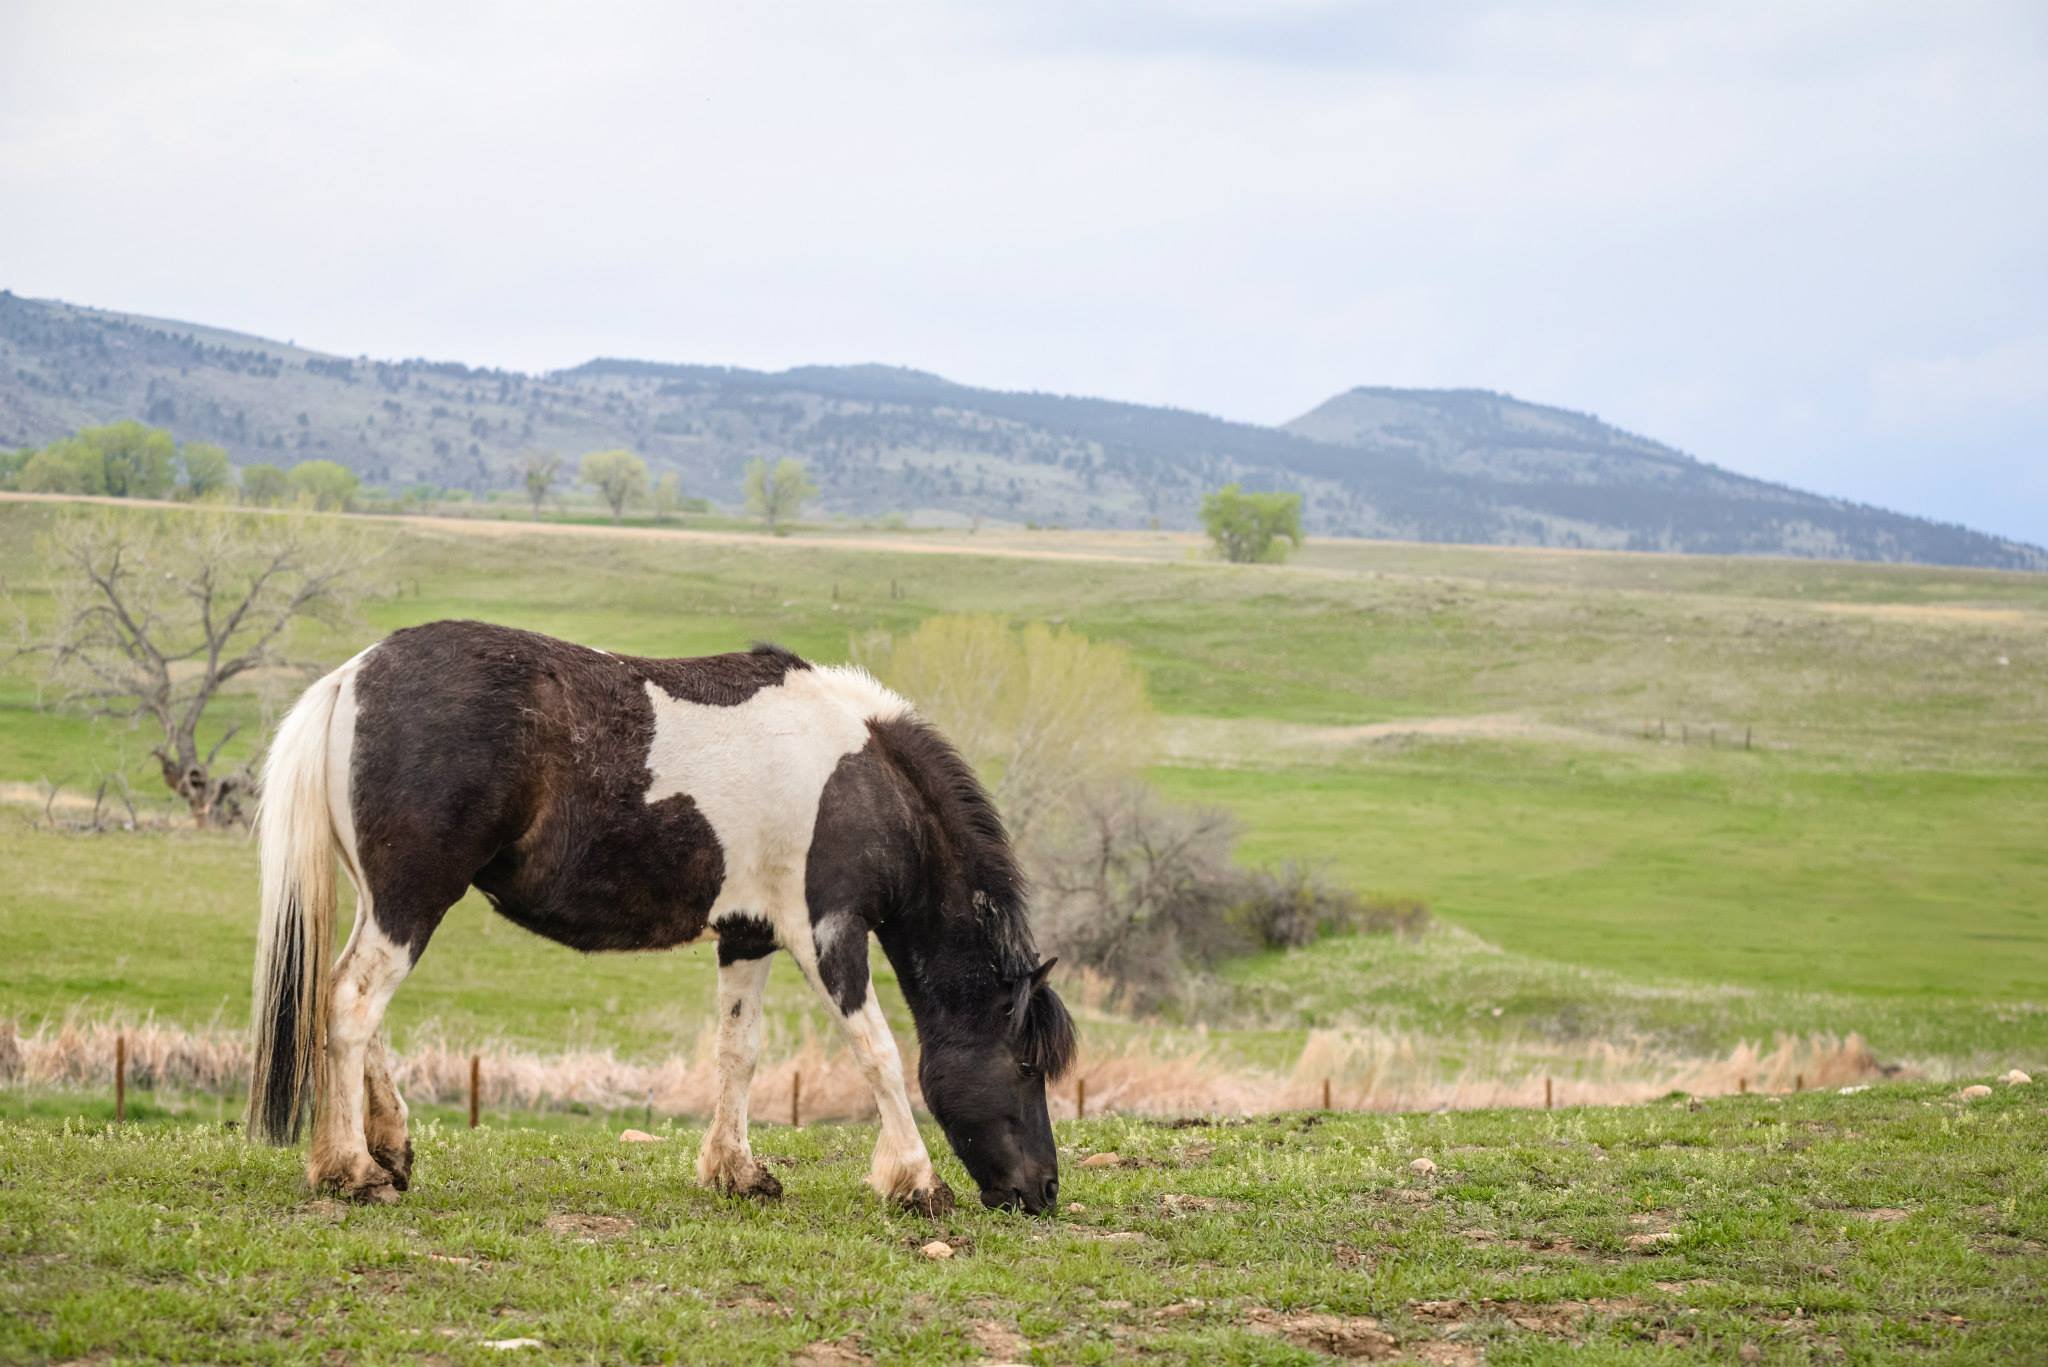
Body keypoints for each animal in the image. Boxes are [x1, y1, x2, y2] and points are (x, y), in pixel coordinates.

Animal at [243, 618, 1073, 1205]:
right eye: (1026, 1064)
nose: (1042, 1191)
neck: (862, 782)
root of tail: (351, 677)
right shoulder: (827, 932)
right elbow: (878, 1051)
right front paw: (917, 1181)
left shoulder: (748, 936)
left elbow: (739, 1051)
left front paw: (737, 1172)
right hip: (412, 899)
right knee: (351, 1004)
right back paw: (352, 1169)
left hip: (386, 901)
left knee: (355, 1003)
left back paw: (389, 1147)